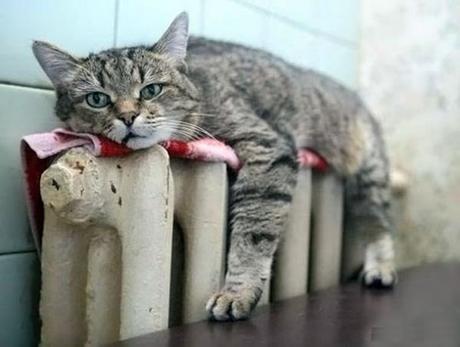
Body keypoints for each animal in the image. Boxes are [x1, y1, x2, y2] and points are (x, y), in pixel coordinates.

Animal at [34, 11, 398, 320]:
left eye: (151, 90)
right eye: (97, 99)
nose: (127, 117)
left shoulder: (268, 147)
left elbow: (253, 231)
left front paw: (237, 291)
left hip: (370, 176)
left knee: (379, 225)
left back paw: (381, 267)